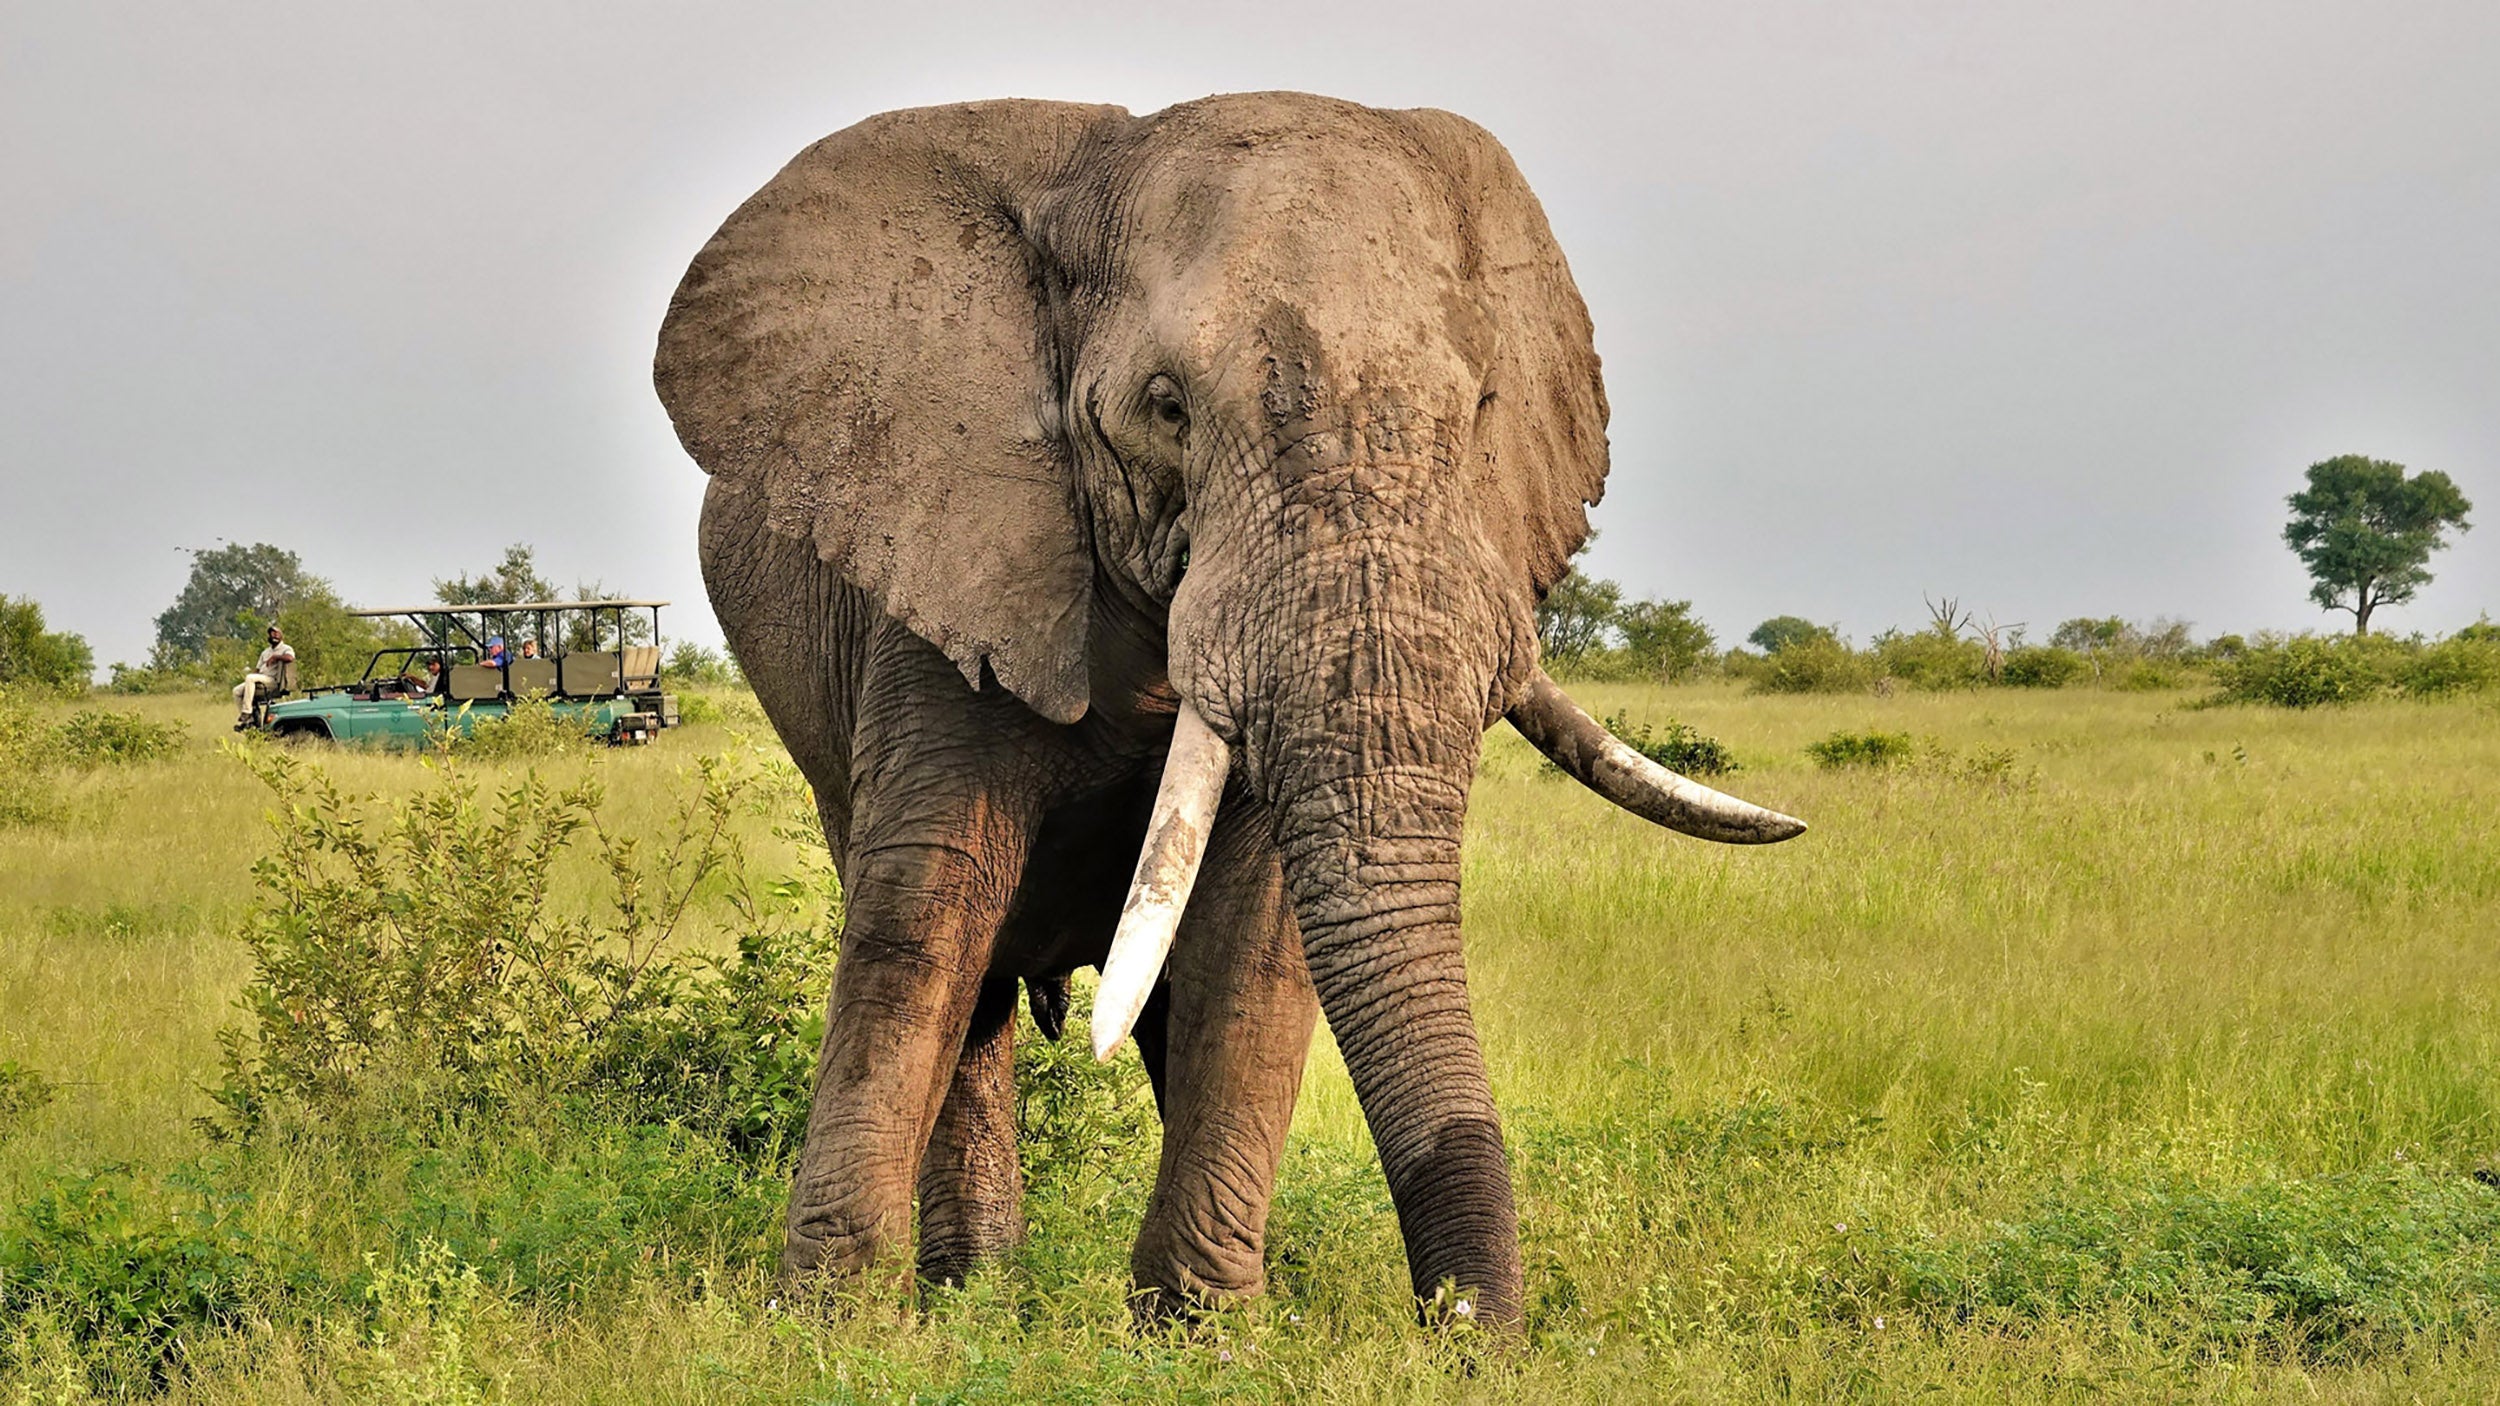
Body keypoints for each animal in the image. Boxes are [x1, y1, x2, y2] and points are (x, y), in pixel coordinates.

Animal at [653, 90, 1803, 1330]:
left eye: (1480, 411)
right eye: (1166, 408)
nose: (1463, 1332)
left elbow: (1251, 940)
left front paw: (1198, 1332)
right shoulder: (943, 569)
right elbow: (926, 906)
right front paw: (835, 1329)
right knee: (971, 970)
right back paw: (979, 1296)